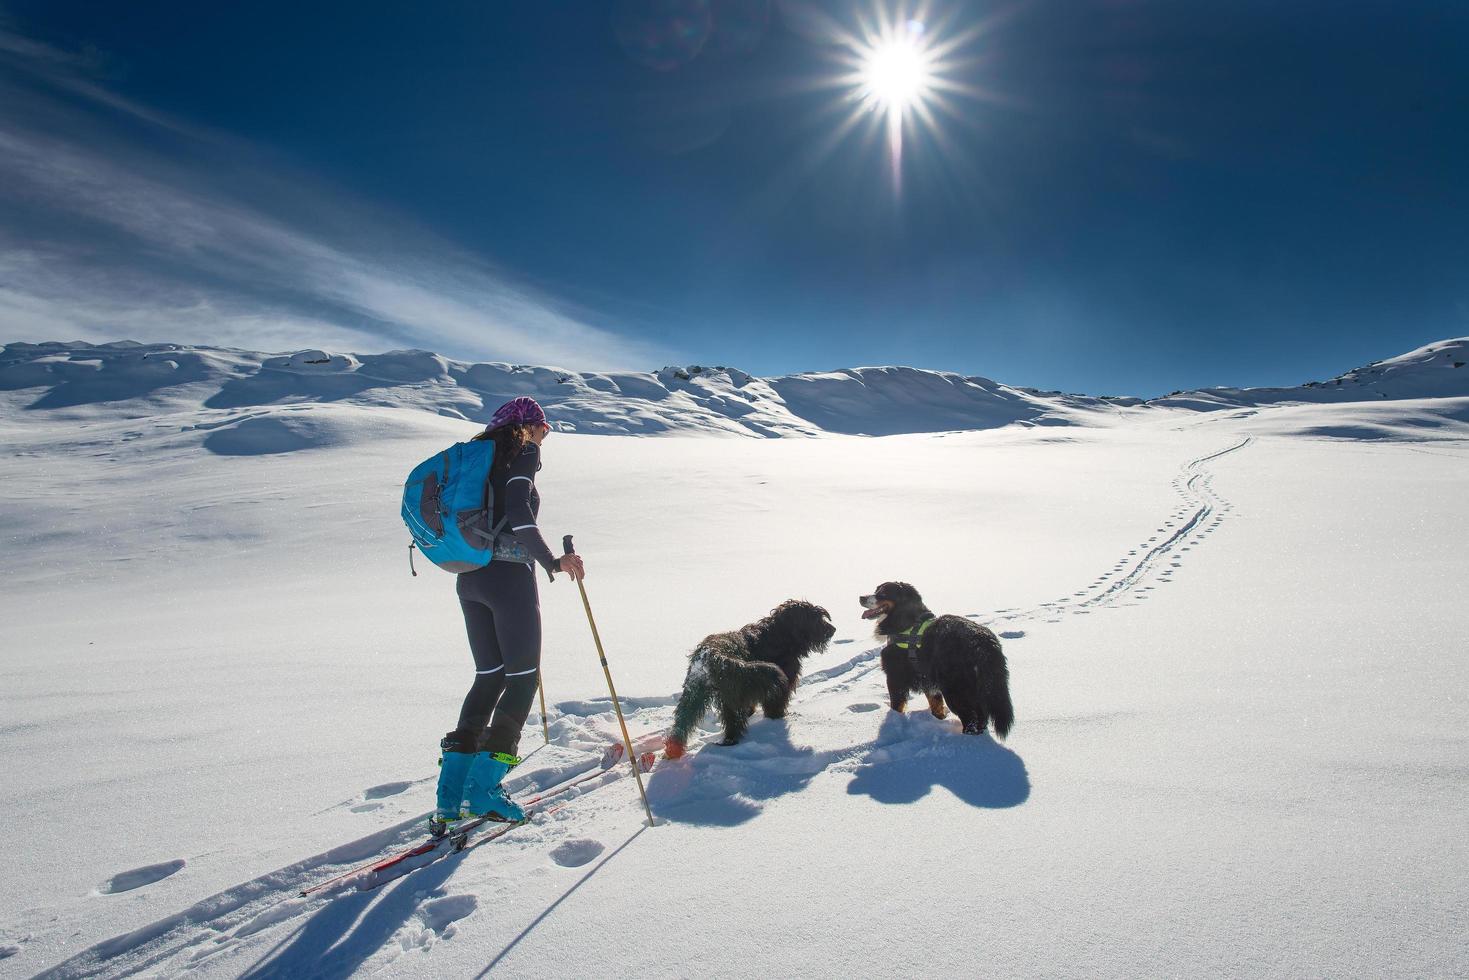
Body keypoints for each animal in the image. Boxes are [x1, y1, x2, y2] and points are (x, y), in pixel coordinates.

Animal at [669, 599, 840, 758]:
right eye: (815, 618)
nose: (833, 629)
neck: (781, 634)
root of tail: (712, 654)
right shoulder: (779, 684)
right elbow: (774, 705)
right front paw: (776, 720)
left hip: (693, 695)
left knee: (682, 723)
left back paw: (673, 749)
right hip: (731, 697)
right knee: (733, 724)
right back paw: (729, 743)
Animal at [857, 581, 1010, 734]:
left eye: (883, 593)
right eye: (876, 590)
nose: (861, 598)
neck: (906, 623)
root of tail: (983, 640)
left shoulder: (896, 677)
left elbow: (897, 706)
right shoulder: (928, 680)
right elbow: (936, 705)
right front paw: (939, 718)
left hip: (956, 690)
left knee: (970, 718)